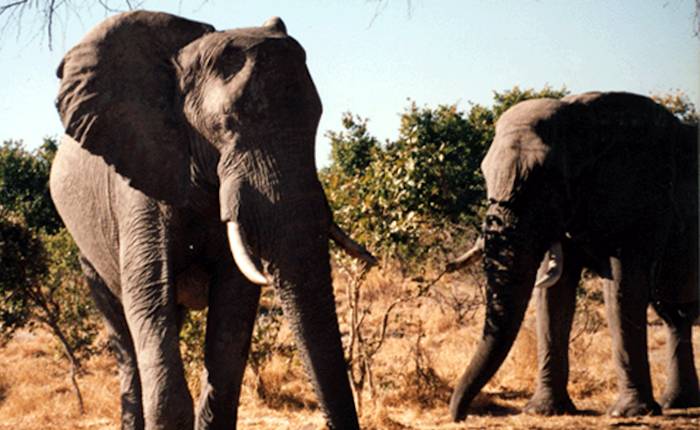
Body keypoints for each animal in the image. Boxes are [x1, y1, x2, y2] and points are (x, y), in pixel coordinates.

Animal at [49, 11, 376, 430]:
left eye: (317, 119)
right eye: (226, 125)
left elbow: (233, 308)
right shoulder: (140, 176)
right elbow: (150, 298)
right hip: (85, 254)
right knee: (126, 338)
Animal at [445, 91, 699, 420]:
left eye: (547, 182)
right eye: (485, 174)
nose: (460, 416)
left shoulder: (636, 201)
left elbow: (621, 291)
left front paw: (628, 414)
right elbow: (553, 295)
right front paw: (543, 411)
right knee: (675, 314)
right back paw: (677, 404)